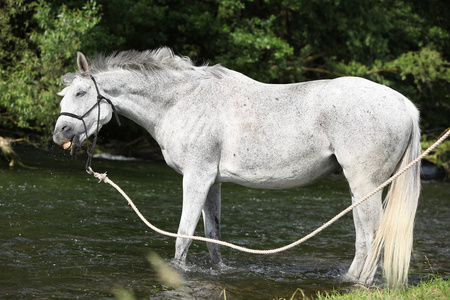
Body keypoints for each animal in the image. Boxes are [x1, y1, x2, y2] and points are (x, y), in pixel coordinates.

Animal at [53, 47, 422, 288]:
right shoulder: (212, 182)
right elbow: (213, 237)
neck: (182, 100)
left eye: (81, 92)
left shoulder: (196, 178)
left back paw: (358, 283)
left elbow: (183, 237)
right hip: (362, 188)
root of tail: (406, 104)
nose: (60, 133)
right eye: (64, 95)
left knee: (371, 235)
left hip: (364, 184)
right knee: (365, 237)